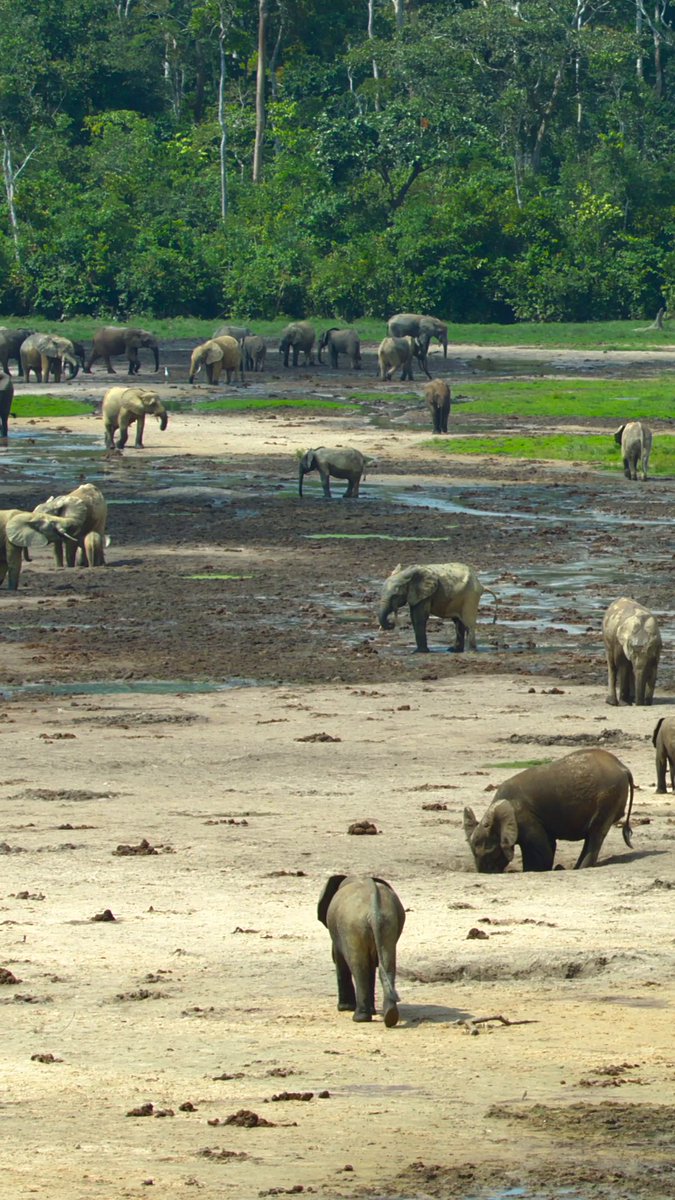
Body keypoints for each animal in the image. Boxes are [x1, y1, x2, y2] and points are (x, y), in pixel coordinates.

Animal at [317, 874, 405, 1027]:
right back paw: (390, 1016)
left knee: (358, 967)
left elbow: (340, 960)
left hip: (351, 926)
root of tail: (375, 912)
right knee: (387, 964)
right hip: (388, 923)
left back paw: (360, 1018)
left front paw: (344, 1008)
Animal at [464, 749, 635, 872]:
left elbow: (541, 852)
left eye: (489, 851)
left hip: (609, 798)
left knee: (596, 834)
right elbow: (549, 845)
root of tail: (622, 767)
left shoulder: (525, 818)